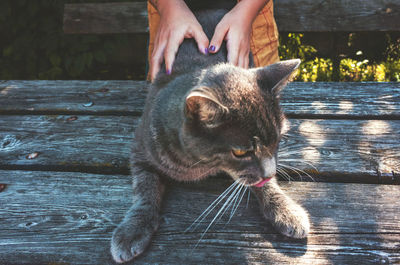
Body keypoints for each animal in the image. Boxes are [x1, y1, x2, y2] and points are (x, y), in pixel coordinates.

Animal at [109, 7, 310, 262]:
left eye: (278, 141)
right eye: (240, 152)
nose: (270, 171)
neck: (199, 165)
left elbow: (264, 184)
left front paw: (285, 209)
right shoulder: (140, 150)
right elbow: (145, 189)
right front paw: (133, 229)